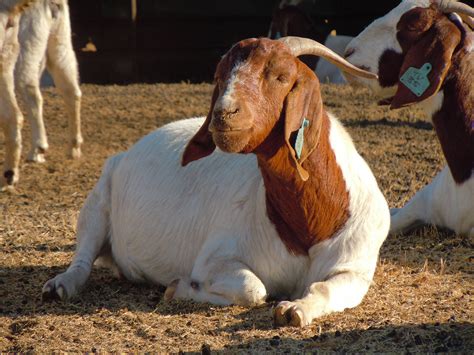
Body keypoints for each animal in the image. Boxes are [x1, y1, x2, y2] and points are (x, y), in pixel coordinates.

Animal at [0, 0, 81, 189]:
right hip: (59, 41)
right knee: (71, 89)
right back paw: (73, 148)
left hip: (27, 47)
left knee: (31, 92)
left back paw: (35, 151)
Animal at [41, 36, 388, 328]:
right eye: (220, 77)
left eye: (280, 76)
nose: (224, 114)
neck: (314, 223)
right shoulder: (215, 258)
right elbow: (254, 288)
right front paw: (180, 287)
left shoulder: (355, 269)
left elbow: (324, 290)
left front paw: (296, 310)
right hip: (98, 199)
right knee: (83, 256)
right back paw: (60, 286)